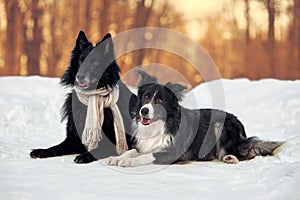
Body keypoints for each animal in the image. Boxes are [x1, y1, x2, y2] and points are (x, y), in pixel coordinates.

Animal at [30, 30, 136, 162]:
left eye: (95, 62)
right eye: (81, 60)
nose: (79, 76)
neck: (90, 97)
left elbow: (98, 149)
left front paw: (85, 155)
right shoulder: (73, 139)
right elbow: (55, 147)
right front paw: (41, 151)